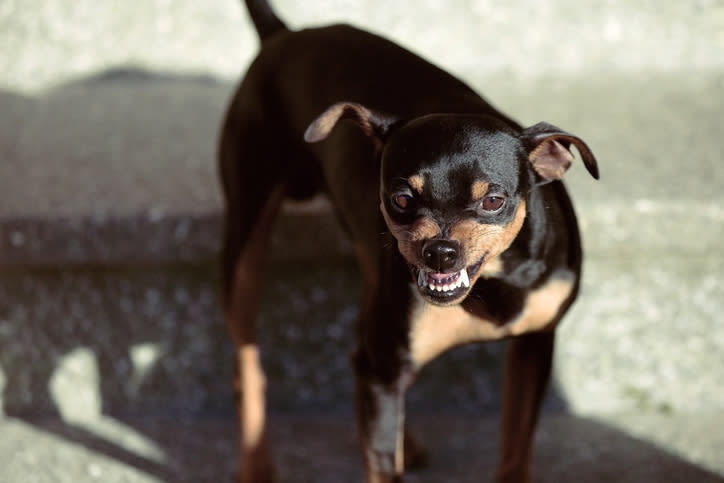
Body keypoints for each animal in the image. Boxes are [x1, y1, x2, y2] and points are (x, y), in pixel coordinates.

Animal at [216, 1, 600, 482]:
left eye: (493, 200)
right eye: (401, 198)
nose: (440, 251)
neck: (492, 283)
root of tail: (282, 34)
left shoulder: (534, 344)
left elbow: (516, 449)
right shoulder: (383, 371)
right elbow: (382, 460)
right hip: (246, 235)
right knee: (247, 368)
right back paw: (256, 466)